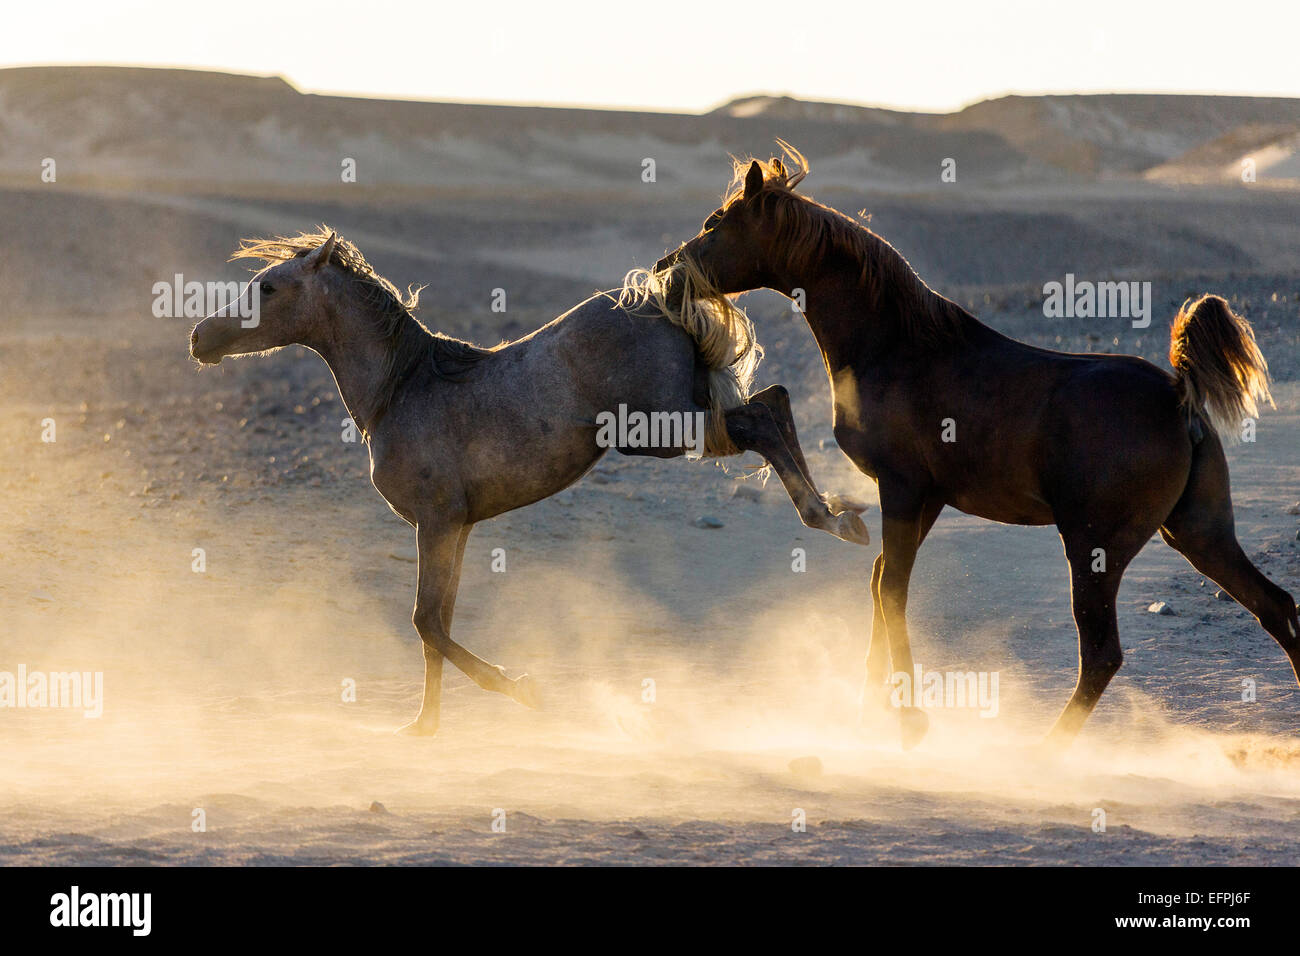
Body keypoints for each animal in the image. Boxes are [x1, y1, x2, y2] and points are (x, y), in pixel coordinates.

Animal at [189, 228, 868, 735]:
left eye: (267, 286)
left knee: (765, 415)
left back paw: (831, 518)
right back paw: (844, 513)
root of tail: (659, 298)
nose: (200, 337)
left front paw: (519, 689)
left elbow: (426, 622)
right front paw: (425, 725)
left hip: (661, 428)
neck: (402, 390)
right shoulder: (454, 526)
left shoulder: (436, 522)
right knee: (772, 405)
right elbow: (438, 622)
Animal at [654, 145, 1299, 750]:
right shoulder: (929, 498)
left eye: (716, 222)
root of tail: (1178, 396)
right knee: (1276, 606)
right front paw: (869, 712)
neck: (895, 346)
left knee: (1102, 655)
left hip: (1097, 548)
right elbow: (880, 583)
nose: (665, 271)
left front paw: (909, 720)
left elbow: (892, 592)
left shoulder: (903, 489)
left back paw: (1042, 754)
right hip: (1198, 532)